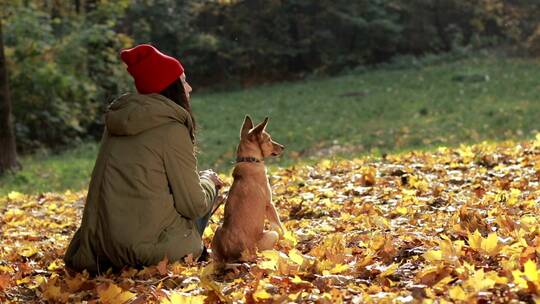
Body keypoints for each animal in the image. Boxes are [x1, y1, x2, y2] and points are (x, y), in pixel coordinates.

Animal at [212, 115, 286, 262]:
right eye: (269, 140)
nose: (283, 147)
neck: (249, 160)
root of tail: (237, 255)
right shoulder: (269, 204)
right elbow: (280, 226)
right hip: (270, 235)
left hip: (218, 231)